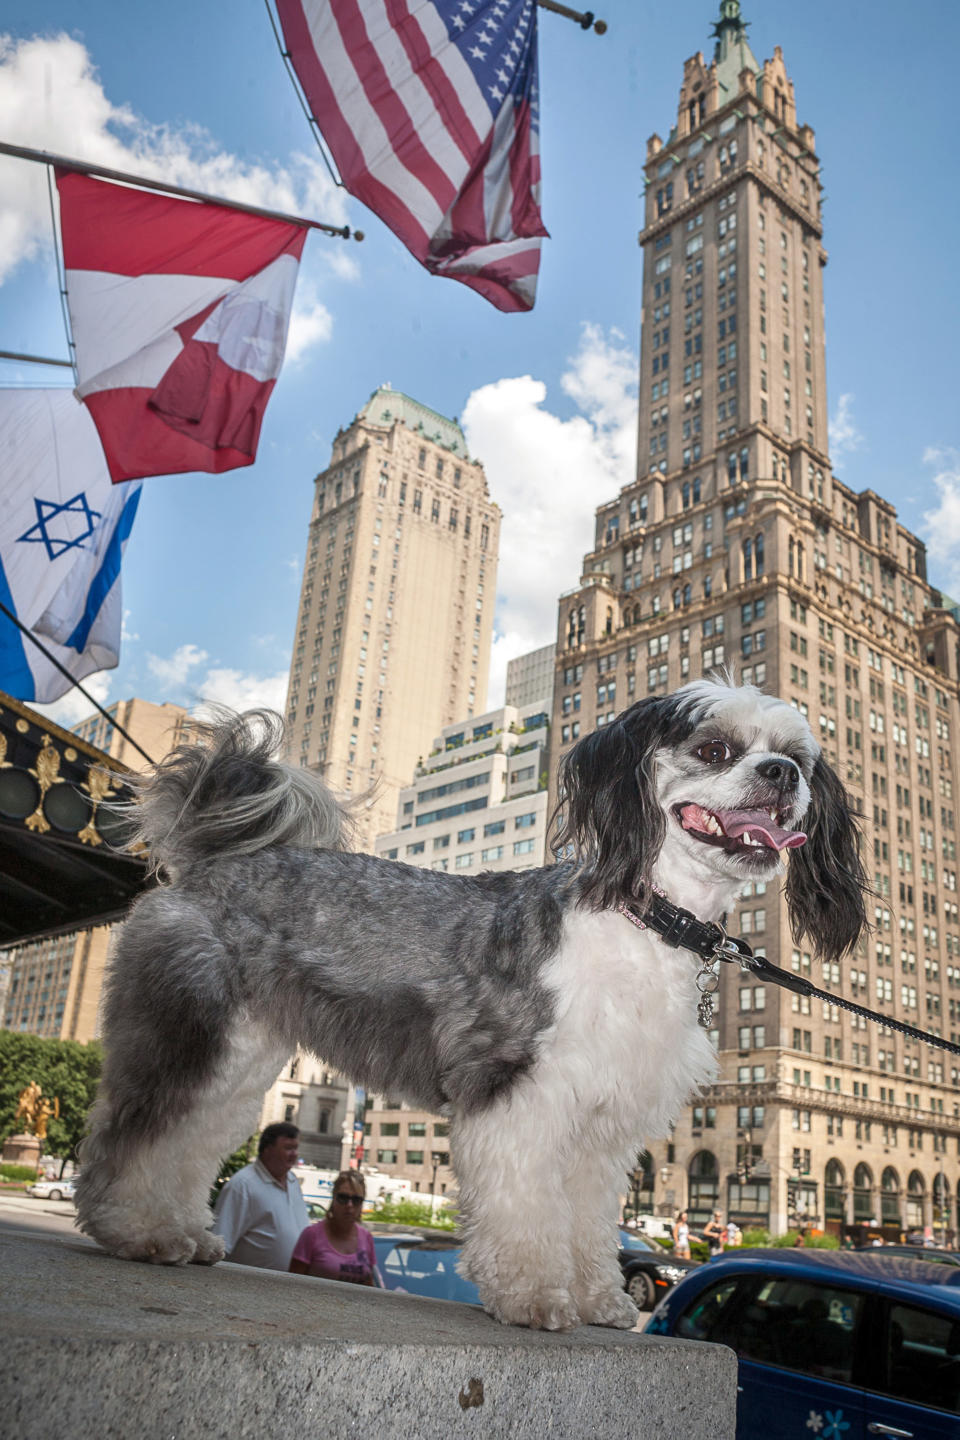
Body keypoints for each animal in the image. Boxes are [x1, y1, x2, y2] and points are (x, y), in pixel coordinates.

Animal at [75, 679, 869, 1330]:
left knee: (189, 1139)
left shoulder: (602, 1128)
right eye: (713, 749)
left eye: (798, 758)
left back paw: (174, 1230)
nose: (781, 774)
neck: (648, 922)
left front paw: (598, 1300)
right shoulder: (519, 1094)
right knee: (137, 1131)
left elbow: (587, 1222)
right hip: (187, 1033)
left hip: (236, 1060)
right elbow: (525, 1208)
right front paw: (535, 1296)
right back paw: (133, 1231)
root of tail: (209, 862)